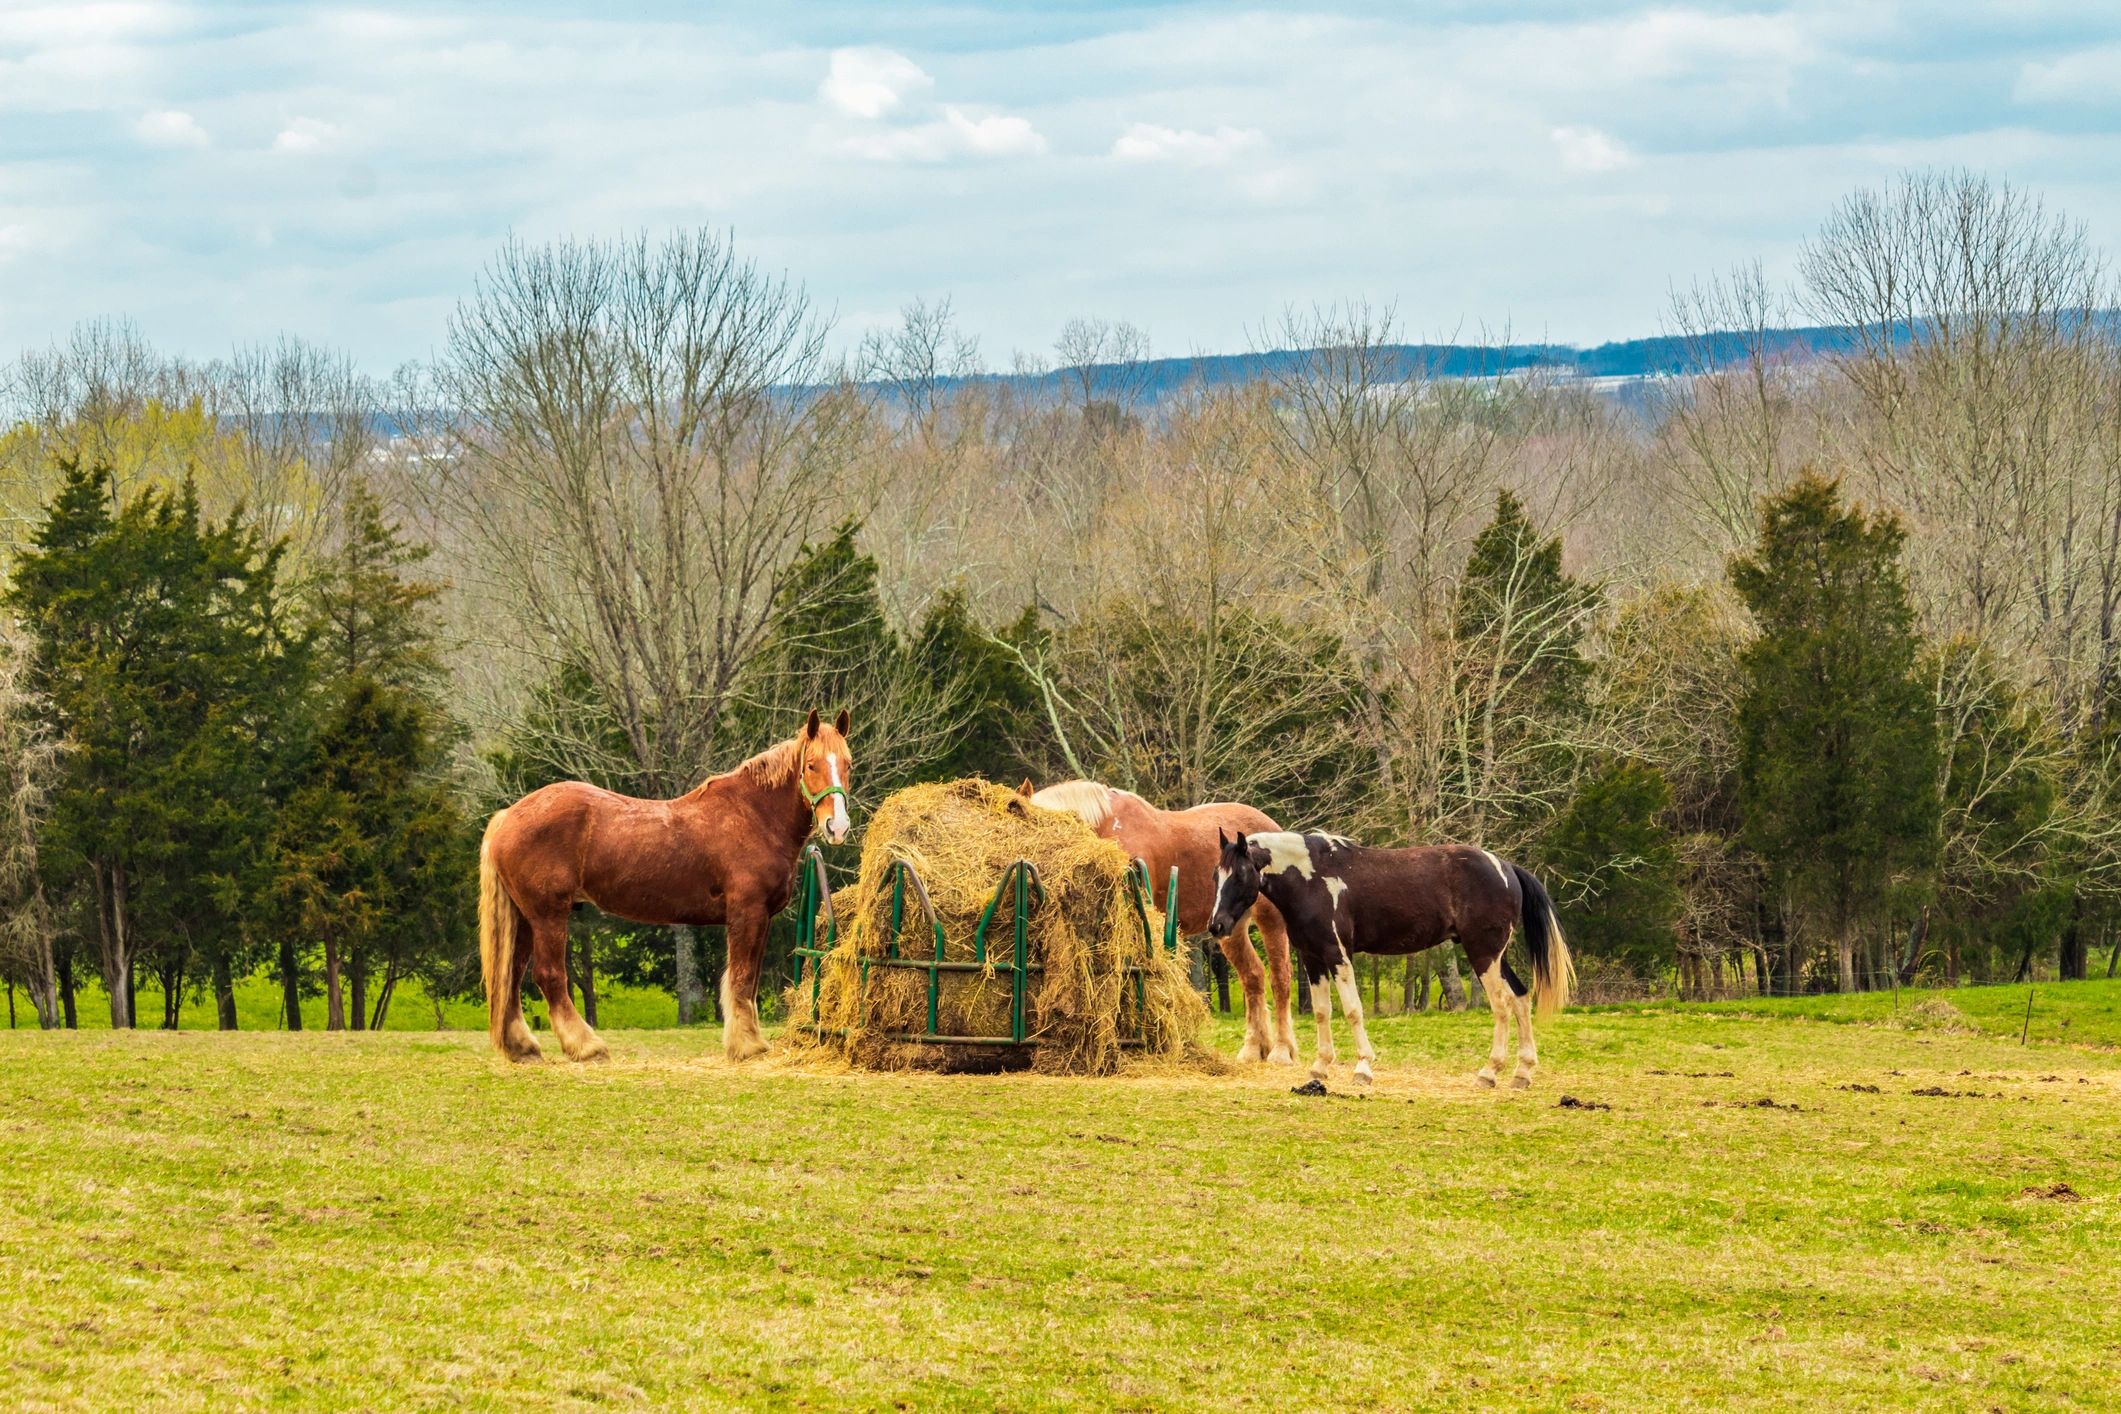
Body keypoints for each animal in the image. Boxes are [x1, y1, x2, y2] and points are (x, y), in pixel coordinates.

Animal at [478, 708, 854, 1063]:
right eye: (811, 765)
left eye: (848, 764)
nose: (836, 826)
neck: (752, 816)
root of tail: (508, 816)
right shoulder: (747, 913)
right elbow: (741, 978)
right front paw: (747, 1046)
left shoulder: (762, 918)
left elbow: (749, 980)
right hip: (548, 915)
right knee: (549, 975)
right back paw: (586, 1047)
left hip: (525, 918)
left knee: (511, 976)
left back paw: (522, 1047)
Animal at [1022, 779, 1299, 1064]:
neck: (1109, 826)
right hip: (1231, 926)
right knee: (1253, 976)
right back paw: (1253, 1049)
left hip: (1270, 919)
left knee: (1281, 977)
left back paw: (1281, 1051)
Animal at [1208, 831, 1574, 1088]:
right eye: (1215, 876)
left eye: (1240, 875)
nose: (1217, 925)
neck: (1312, 878)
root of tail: (1507, 868)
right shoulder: (1312, 959)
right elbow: (1323, 1013)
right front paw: (1320, 1067)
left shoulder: (1338, 955)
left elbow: (1353, 1011)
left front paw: (1363, 1068)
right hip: (1496, 957)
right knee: (1521, 997)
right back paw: (1522, 1074)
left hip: (1483, 953)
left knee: (1502, 1005)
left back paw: (1489, 1073)